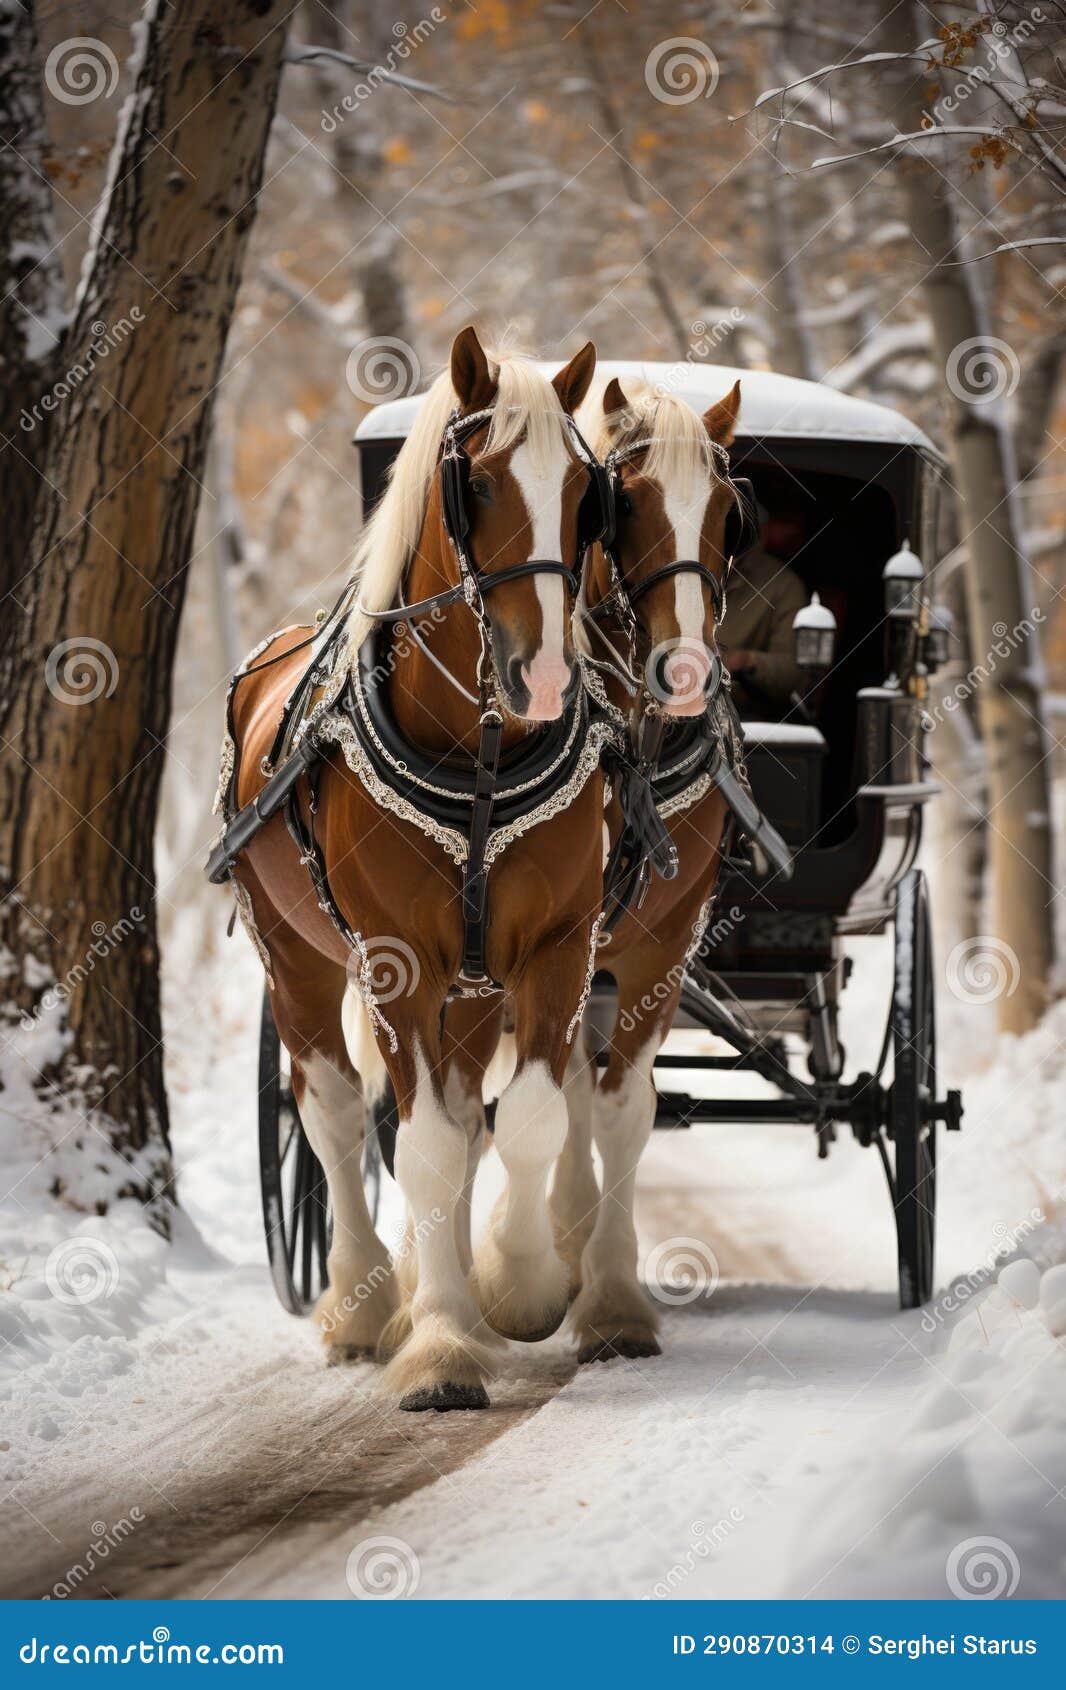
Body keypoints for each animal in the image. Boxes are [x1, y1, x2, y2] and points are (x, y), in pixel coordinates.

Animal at [224, 327, 612, 1411]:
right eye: (474, 483)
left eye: (585, 489)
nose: (544, 678)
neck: (477, 758)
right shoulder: (395, 961)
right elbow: (423, 1147)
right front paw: (438, 1345)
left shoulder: (557, 946)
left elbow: (521, 1122)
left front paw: (519, 1288)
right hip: (297, 959)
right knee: (334, 1112)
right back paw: (363, 1303)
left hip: (475, 991)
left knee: (465, 1112)